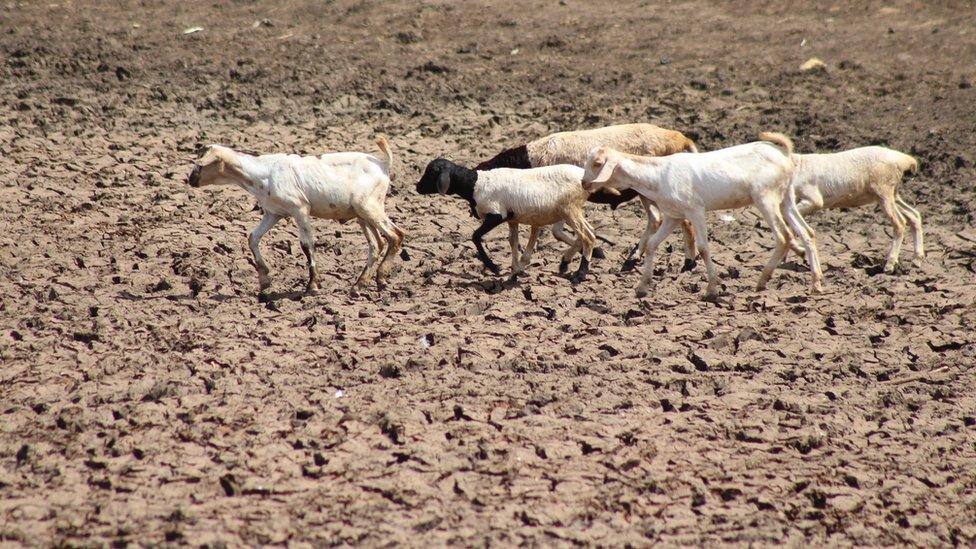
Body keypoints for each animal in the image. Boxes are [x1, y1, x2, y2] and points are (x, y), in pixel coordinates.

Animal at [187, 138, 404, 300]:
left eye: (200, 164)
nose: (190, 180)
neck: (263, 173)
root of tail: (383, 164)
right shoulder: (273, 213)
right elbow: (253, 238)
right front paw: (265, 280)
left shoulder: (300, 209)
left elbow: (306, 245)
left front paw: (312, 285)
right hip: (362, 214)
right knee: (376, 244)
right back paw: (359, 286)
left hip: (369, 206)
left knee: (396, 235)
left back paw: (380, 278)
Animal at [580, 132, 824, 300]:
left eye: (597, 163)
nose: (583, 183)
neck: (658, 175)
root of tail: (783, 153)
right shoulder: (674, 216)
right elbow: (652, 244)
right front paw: (641, 287)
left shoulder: (695, 210)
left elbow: (704, 248)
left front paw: (711, 290)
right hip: (786, 198)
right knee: (808, 233)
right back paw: (816, 284)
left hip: (765, 198)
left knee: (784, 236)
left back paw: (762, 281)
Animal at [792, 146, 924, 272]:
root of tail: (903, 159)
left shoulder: (813, 200)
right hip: (892, 194)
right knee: (914, 215)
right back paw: (916, 260)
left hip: (884, 191)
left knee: (900, 223)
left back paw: (889, 266)